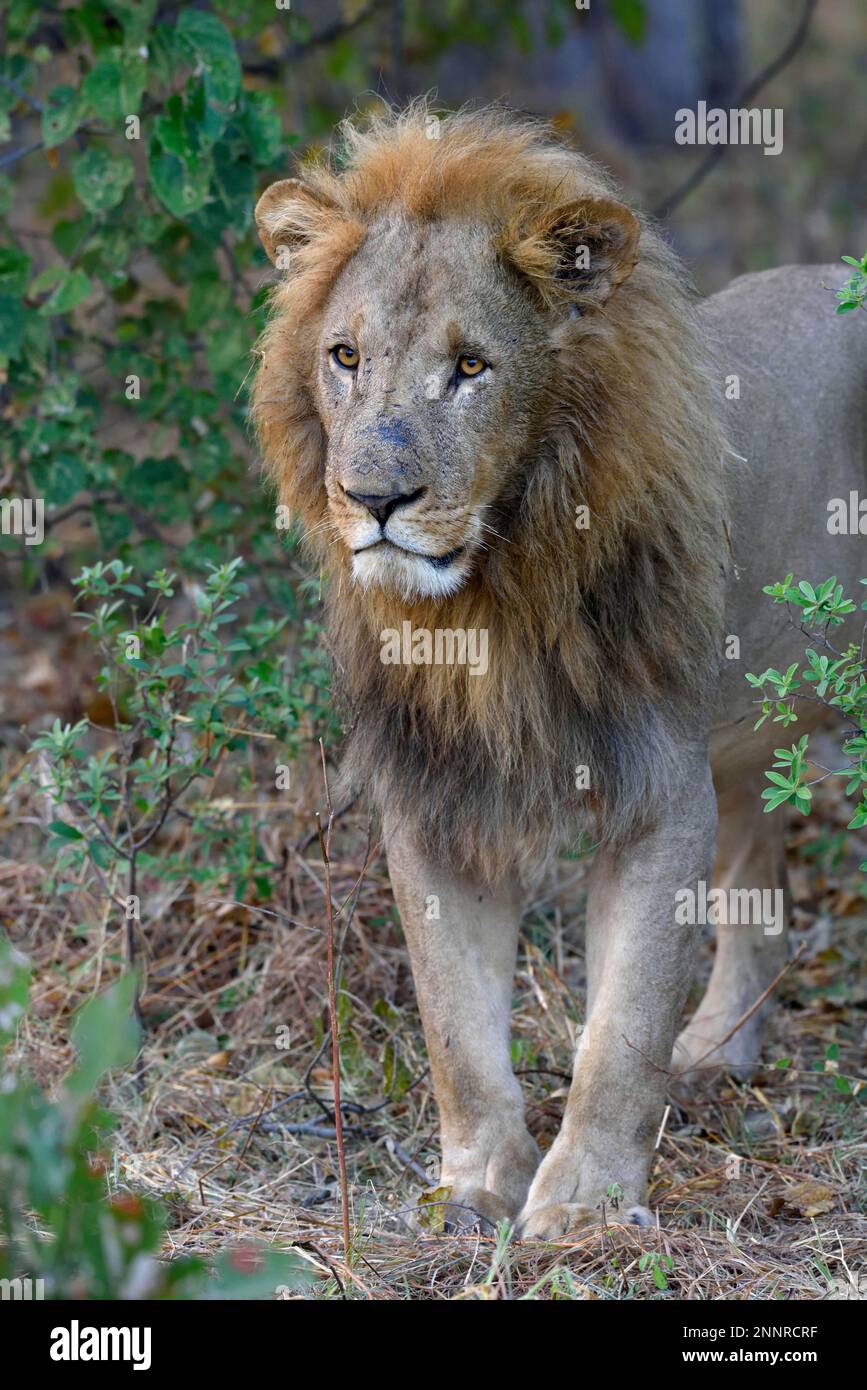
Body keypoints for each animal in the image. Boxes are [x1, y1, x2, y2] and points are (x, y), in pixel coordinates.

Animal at [251, 103, 867, 1239]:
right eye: (345, 355)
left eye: (472, 367)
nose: (375, 498)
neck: (491, 597)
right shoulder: (435, 799)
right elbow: (454, 1029)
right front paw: (474, 1188)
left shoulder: (659, 793)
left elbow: (620, 1027)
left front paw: (584, 1205)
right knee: (756, 891)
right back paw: (717, 1051)